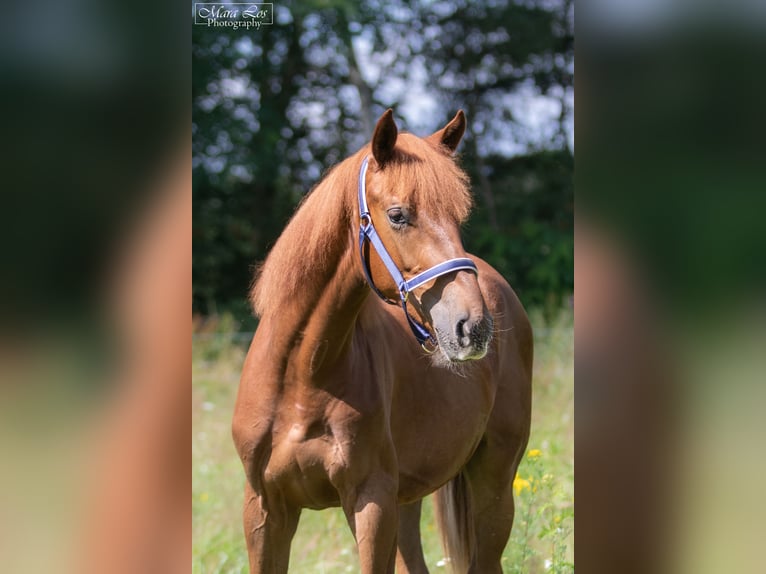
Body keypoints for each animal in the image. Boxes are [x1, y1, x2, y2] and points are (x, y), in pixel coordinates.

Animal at [232, 109, 536, 574]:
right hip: (407, 501)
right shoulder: (265, 509)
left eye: (458, 218)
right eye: (397, 215)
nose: (474, 326)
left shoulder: (371, 503)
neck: (301, 374)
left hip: (494, 484)